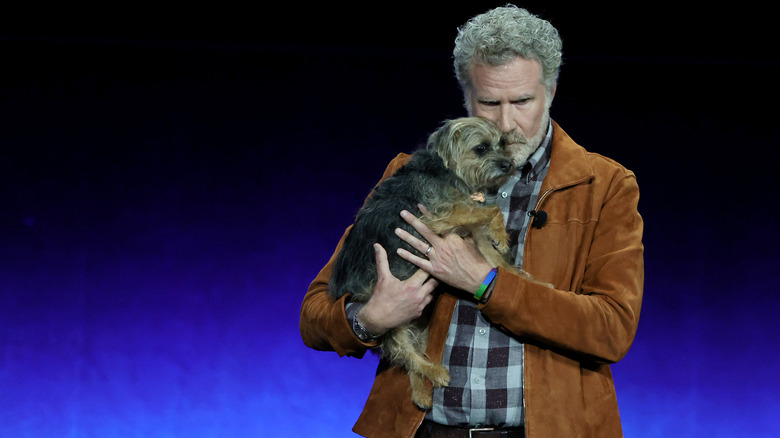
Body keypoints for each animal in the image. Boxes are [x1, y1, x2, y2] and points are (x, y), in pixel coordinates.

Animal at [328, 115, 516, 408]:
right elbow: (491, 210)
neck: (450, 172)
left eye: (503, 144)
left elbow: (494, 258)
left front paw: (525, 275)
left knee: (410, 357)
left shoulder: (469, 229)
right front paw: (501, 233)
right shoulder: (440, 216)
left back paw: (421, 392)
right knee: (402, 351)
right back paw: (434, 372)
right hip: (386, 315)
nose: (509, 164)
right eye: (481, 148)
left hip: (417, 323)